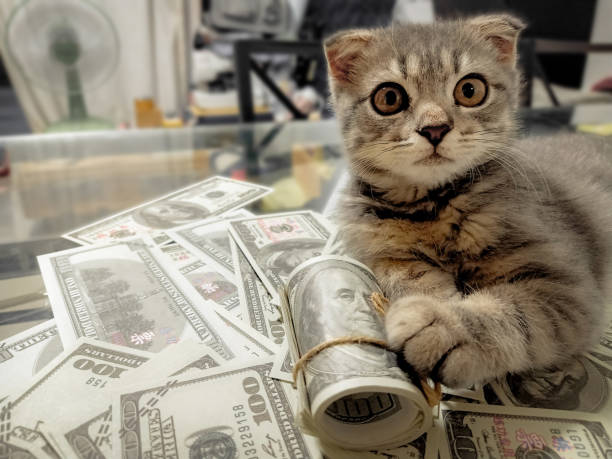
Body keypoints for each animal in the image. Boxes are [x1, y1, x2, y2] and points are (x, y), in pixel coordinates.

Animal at [322, 14, 608, 388]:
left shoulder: (572, 289)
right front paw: (435, 295)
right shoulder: (378, 246)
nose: (434, 128)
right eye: (389, 97)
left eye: (470, 90)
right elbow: (402, 271)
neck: (432, 210)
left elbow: (519, 315)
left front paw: (445, 325)